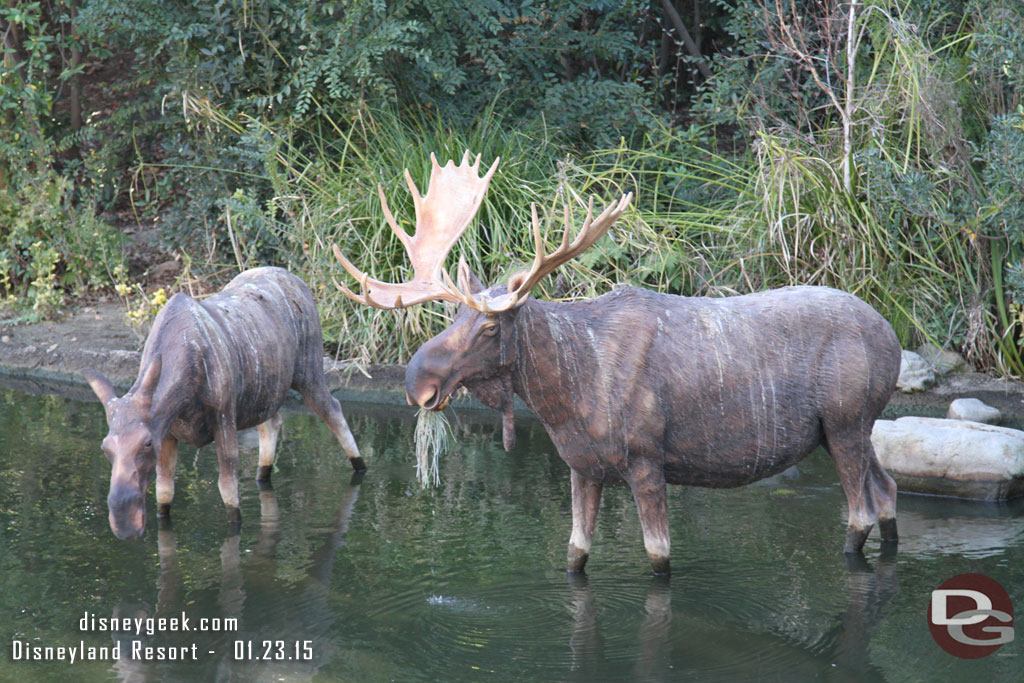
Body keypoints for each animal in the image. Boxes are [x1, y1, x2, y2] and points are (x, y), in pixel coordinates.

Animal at [84, 266, 364, 540]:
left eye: (146, 442)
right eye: (105, 447)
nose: (124, 522)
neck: (186, 387)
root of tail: (295, 278)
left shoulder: (224, 418)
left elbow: (228, 493)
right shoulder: (169, 432)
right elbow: (164, 493)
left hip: (309, 371)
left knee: (333, 409)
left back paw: (359, 465)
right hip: (263, 392)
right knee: (272, 422)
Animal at [333, 152, 897, 573]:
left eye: (490, 327)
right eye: (453, 314)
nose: (418, 384)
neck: (567, 400)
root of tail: (891, 337)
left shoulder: (647, 458)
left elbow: (658, 557)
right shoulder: (583, 466)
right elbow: (575, 555)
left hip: (845, 420)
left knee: (860, 512)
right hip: (851, 427)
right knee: (887, 491)